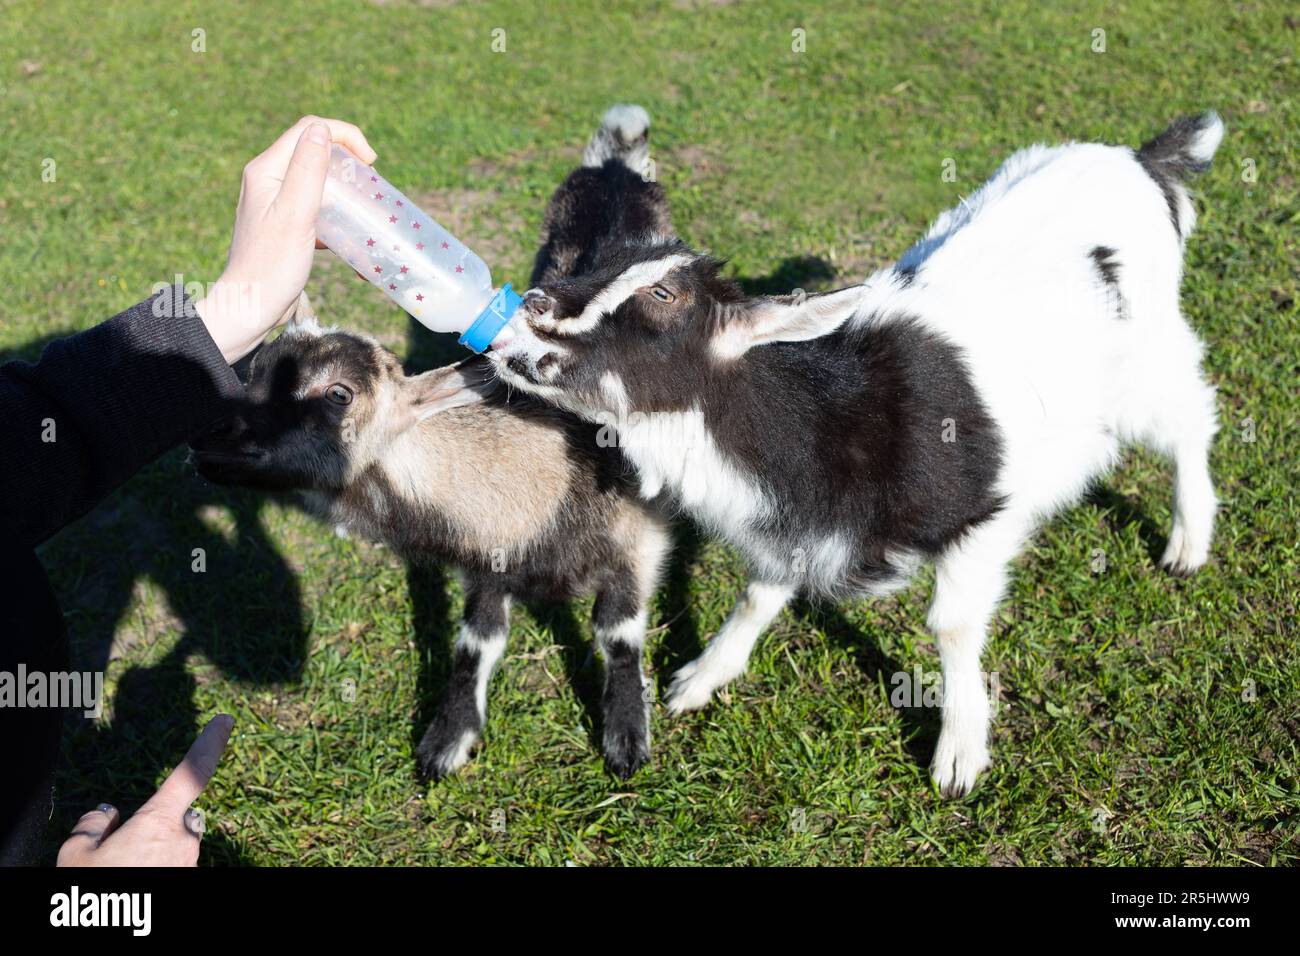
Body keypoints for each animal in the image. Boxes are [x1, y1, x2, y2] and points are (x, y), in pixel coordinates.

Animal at [195, 104, 681, 780]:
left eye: (338, 394)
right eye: (255, 368)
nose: (210, 436)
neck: (550, 477)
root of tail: (616, 165)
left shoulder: (638, 534)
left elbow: (619, 632)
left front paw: (626, 735)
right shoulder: (490, 556)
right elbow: (476, 640)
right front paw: (447, 739)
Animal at [488, 110, 1227, 801]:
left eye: (664, 295)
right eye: (600, 264)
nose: (534, 303)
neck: (827, 420)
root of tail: (1141, 159)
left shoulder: (981, 518)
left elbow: (952, 625)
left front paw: (960, 754)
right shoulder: (796, 528)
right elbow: (760, 594)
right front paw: (701, 679)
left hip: (1147, 362)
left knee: (1190, 417)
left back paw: (1189, 543)